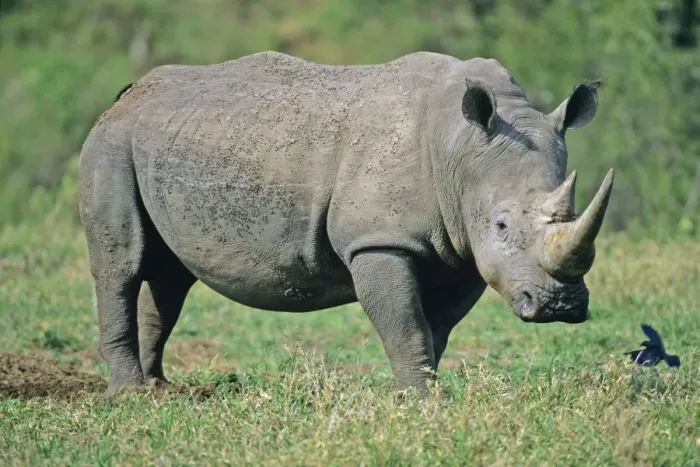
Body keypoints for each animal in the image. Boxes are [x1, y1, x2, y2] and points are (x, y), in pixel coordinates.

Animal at [78, 51, 613, 394]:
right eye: (501, 226)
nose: (559, 305)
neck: (457, 147)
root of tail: (125, 97)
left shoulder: (462, 250)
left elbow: (436, 328)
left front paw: (420, 396)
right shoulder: (378, 240)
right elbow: (406, 325)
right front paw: (420, 403)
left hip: (165, 142)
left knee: (169, 277)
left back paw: (160, 389)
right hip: (110, 144)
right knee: (121, 266)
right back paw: (128, 396)